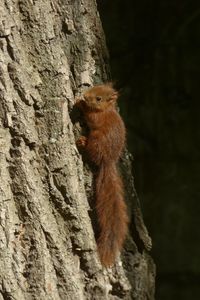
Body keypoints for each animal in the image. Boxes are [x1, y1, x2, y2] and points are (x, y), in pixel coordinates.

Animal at [75, 83, 128, 266]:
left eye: (98, 99)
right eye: (95, 87)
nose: (86, 96)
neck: (106, 110)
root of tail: (108, 161)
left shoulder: (99, 118)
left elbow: (91, 118)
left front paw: (80, 104)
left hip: (97, 141)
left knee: (91, 151)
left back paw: (82, 143)